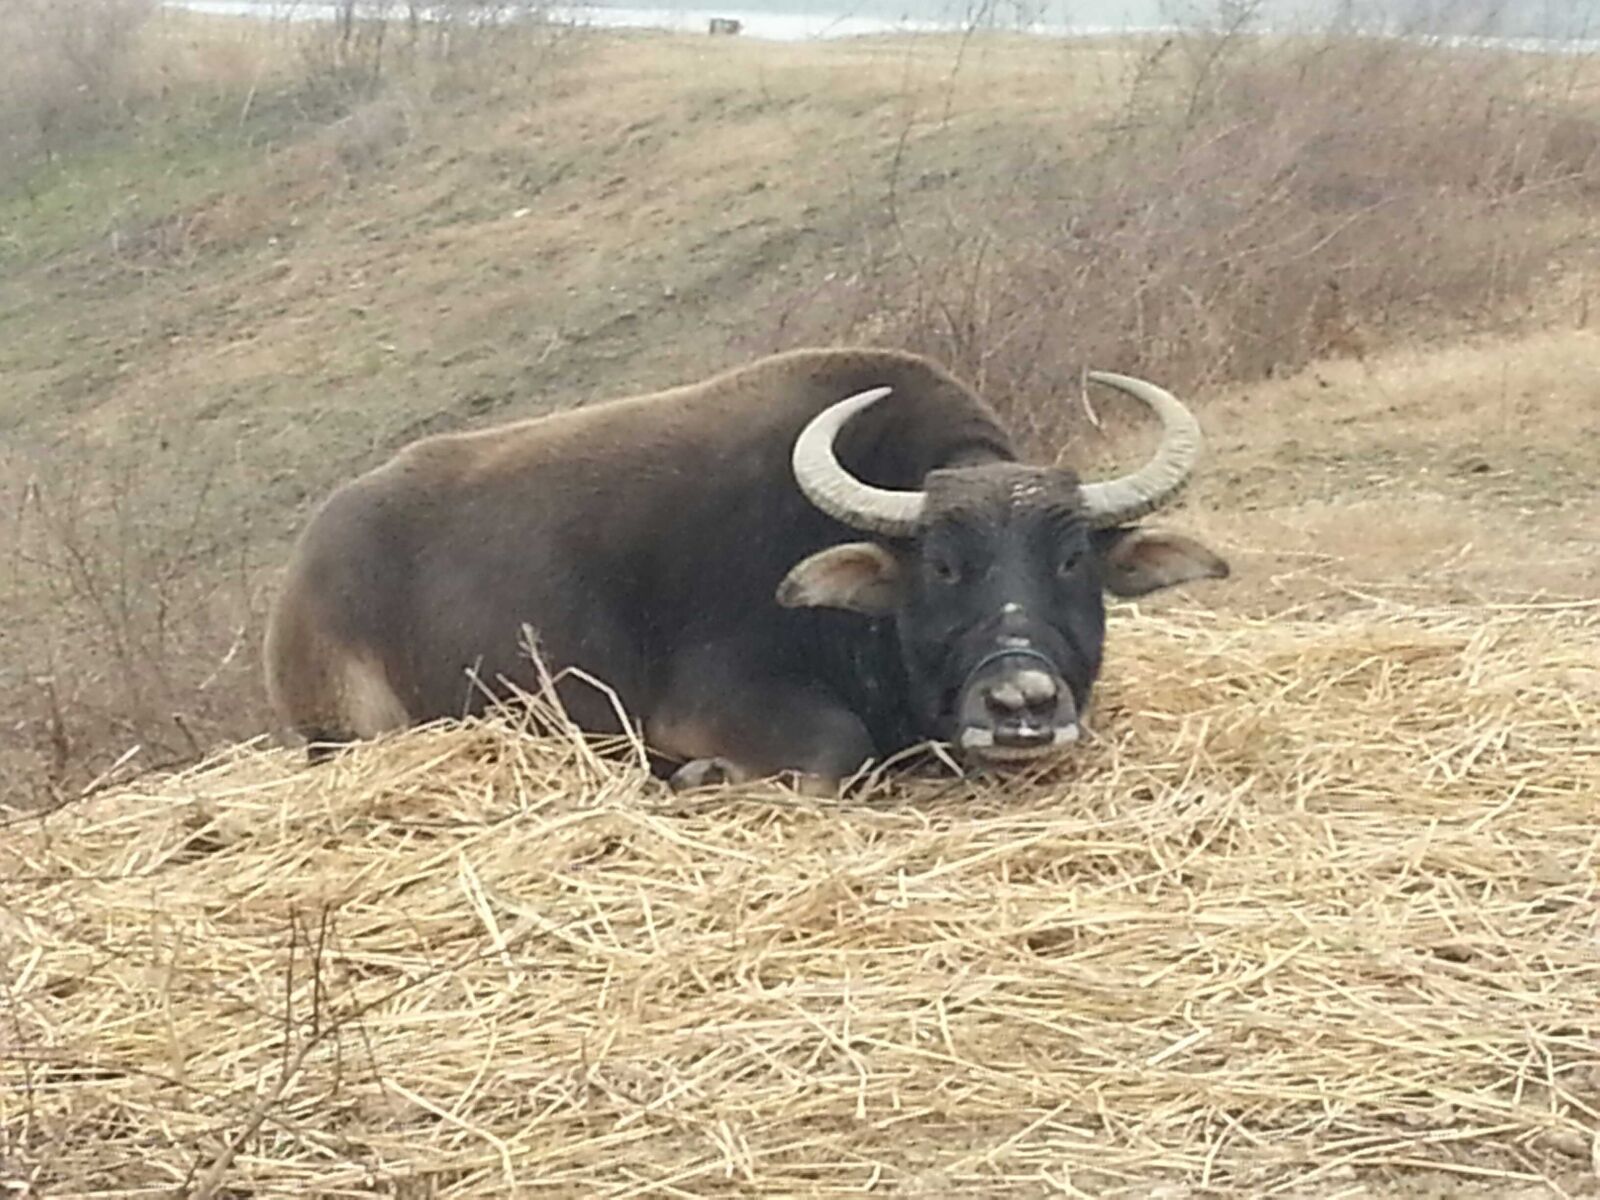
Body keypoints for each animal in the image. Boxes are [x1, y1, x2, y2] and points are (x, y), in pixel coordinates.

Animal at [264, 347, 1229, 792]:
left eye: (1069, 561)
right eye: (944, 567)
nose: (1020, 704)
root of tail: (304, 572)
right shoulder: (712, 708)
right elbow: (834, 748)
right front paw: (701, 779)